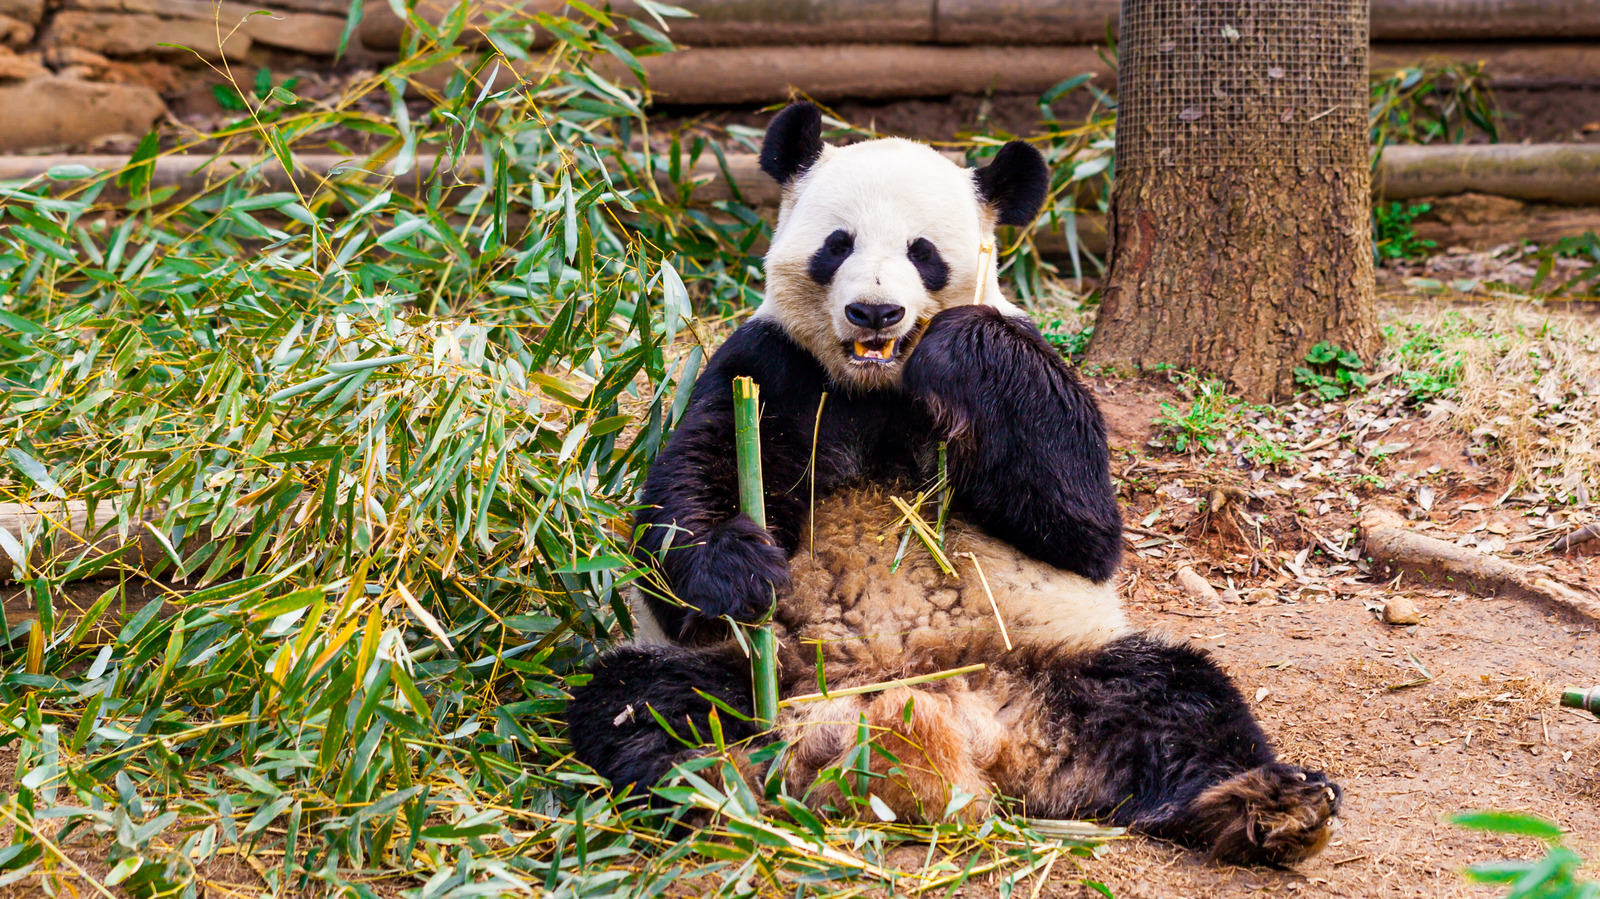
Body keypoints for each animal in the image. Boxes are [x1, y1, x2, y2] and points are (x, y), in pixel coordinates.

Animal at [563, 101, 1337, 863]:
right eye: (837, 244)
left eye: (922, 252)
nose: (876, 311)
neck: (873, 383)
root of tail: (951, 728)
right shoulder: (767, 365)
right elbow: (688, 492)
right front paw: (743, 570)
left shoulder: (1027, 367)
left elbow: (1084, 522)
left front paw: (956, 341)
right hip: (766, 674)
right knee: (643, 707)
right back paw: (717, 790)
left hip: (1058, 663)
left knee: (1179, 699)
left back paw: (1272, 804)